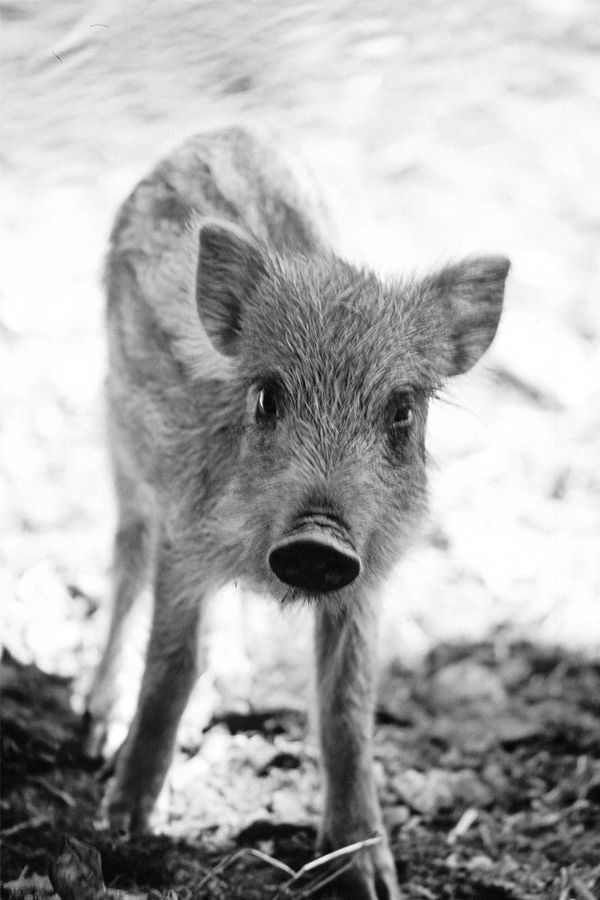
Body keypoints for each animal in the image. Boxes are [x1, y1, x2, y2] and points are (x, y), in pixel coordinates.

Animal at [84, 125, 510, 900]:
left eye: (402, 411)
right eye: (267, 397)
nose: (318, 538)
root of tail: (220, 132)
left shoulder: (365, 578)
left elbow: (347, 707)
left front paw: (371, 874)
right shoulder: (184, 537)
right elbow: (169, 665)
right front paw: (125, 823)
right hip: (123, 444)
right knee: (126, 560)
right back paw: (99, 721)